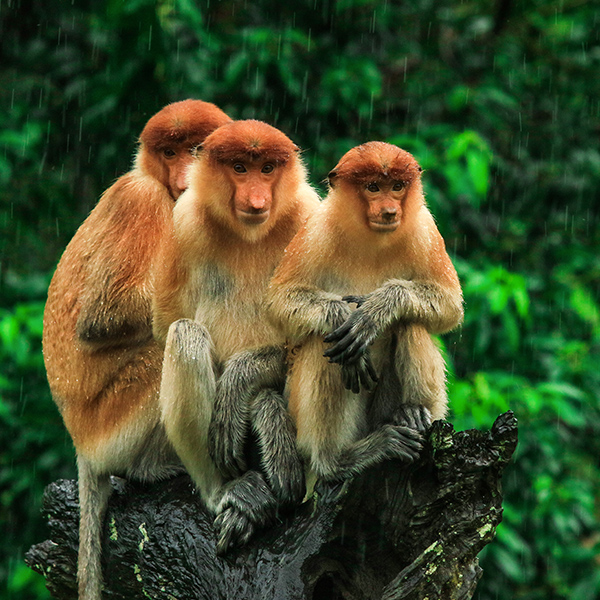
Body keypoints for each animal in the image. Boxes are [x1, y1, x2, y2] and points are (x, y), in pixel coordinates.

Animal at [42, 99, 232, 600]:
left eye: (196, 148)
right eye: (169, 151)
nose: (184, 174)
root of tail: (80, 443)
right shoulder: (140, 199)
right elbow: (102, 317)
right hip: (111, 423)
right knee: (165, 346)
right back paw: (153, 469)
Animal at [152, 119, 322, 556]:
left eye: (267, 168)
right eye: (240, 168)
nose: (257, 198)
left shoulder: (310, 217)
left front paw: (241, 383)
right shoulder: (183, 221)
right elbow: (167, 322)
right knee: (186, 335)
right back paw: (230, 492)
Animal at [268, 143, 464, 486]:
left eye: (397, 186)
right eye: (373, 187)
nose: (390, 212)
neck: (372, 238)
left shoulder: (425, 229)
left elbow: (450, 305)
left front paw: (376, 310)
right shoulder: (314, 231)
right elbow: (279, 302)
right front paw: (339, 316)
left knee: (410, 323)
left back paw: (412, 414)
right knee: (324, 344)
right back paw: (338, 461)